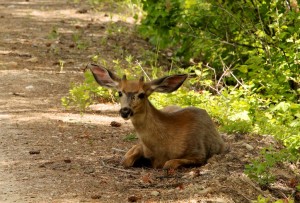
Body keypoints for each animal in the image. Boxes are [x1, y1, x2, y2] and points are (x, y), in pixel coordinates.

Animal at [89, 63, 225, 170]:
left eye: (142, 94)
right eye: (119, 92)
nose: (125, 111)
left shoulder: (198, 153)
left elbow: (168, 164)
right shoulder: (141, 146)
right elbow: (126, 160)